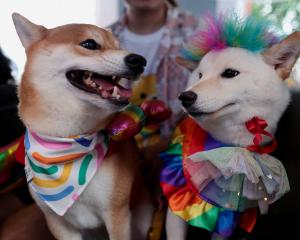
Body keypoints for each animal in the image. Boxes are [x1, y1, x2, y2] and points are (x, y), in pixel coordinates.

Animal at [11, 12, 154, 240]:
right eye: (89, 44)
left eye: (119, 46)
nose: (139, 60)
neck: (67, 138)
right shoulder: (58, 223)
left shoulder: (117, 214)